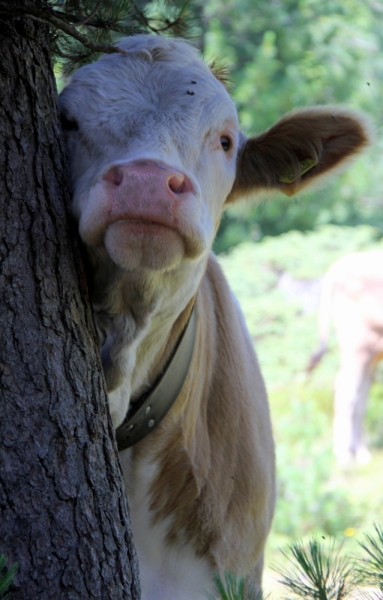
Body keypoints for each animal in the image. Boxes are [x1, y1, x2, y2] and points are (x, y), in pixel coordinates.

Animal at [308, 250, 383, 468]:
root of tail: (339, 265)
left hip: (370, 351)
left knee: (360, 394)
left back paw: (361, 453)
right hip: (357, 345)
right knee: (346, 389)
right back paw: (344, 456)